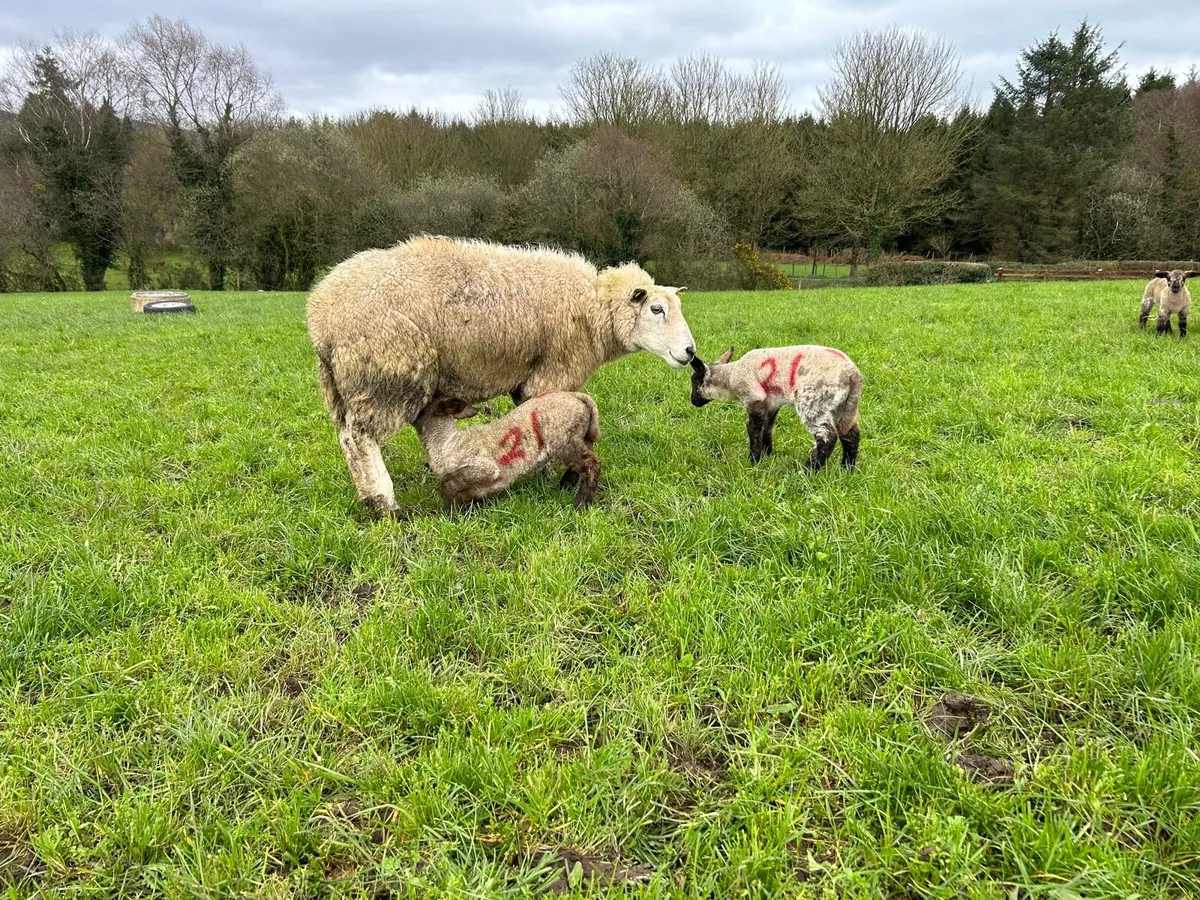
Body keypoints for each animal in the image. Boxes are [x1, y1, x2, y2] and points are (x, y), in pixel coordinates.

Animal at [413, 391, 602, 512]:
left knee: (593, 463)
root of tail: (578, 396)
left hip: (565, 439)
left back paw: (581, 504)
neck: (446, 442)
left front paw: (449, 514)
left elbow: (448, 484)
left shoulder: (485, 468)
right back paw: (564, 486)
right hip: (581, 437)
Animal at [689, 345, 862, 471]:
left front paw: (753, 461)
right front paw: (767, 454)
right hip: (844, 407)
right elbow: (767, 428)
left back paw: (808, 471)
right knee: (851, 435)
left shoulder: (754, 397)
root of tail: (853, 375)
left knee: (827, 437)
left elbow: (753, 429)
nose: (693, 401)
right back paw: (846, 469)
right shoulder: (771, 403)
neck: (730, 377)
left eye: (693, 381)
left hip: (814, 402)